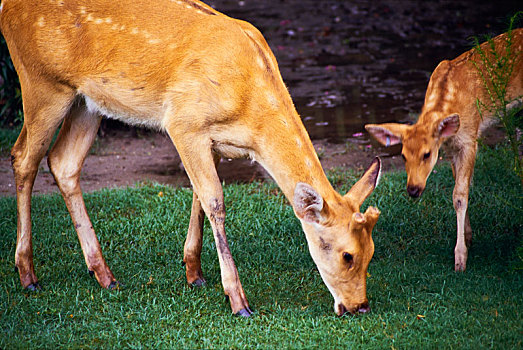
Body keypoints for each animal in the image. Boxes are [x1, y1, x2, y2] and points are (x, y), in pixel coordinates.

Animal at [1, 0, 384, 316]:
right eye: (347, 255)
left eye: (372, 252)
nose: (360, 306)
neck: (251, 118)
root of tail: (7, 7)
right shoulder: (183, 122)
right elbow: (214, 200)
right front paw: (238, 301)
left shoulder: (212, 139)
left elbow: (199, 196)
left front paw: (193, 272)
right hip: (42, 82)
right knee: (23, 158)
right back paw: (28, 275)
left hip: (87, 101)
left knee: (63, 162)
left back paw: (104, 275)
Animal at [366, 28, 520, 272]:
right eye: (402, 156)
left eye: (427, 154)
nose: (413, 190)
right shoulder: (450, 147)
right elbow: (459, 188)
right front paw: (468, 236)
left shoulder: (470, 139)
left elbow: (460, 195)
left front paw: (460, 258)